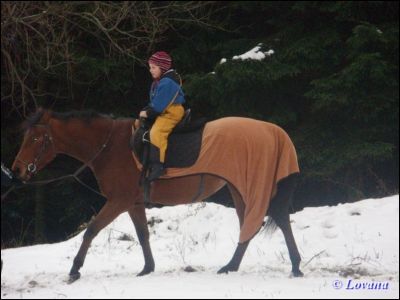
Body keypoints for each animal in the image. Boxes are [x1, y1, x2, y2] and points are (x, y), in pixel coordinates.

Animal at [11, 108, 304, 282]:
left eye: (35, 139)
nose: (16, 170)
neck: (109, 147)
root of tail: (273, 131)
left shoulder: (118, 201)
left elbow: (91, 230)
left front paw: (75, 269)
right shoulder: (133, 203)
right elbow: (143, 234)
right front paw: (147, 268)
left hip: (253, 185)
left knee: (274, 220)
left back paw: (294, 266)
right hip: (240, 187)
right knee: (250, 225)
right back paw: (232, 265)